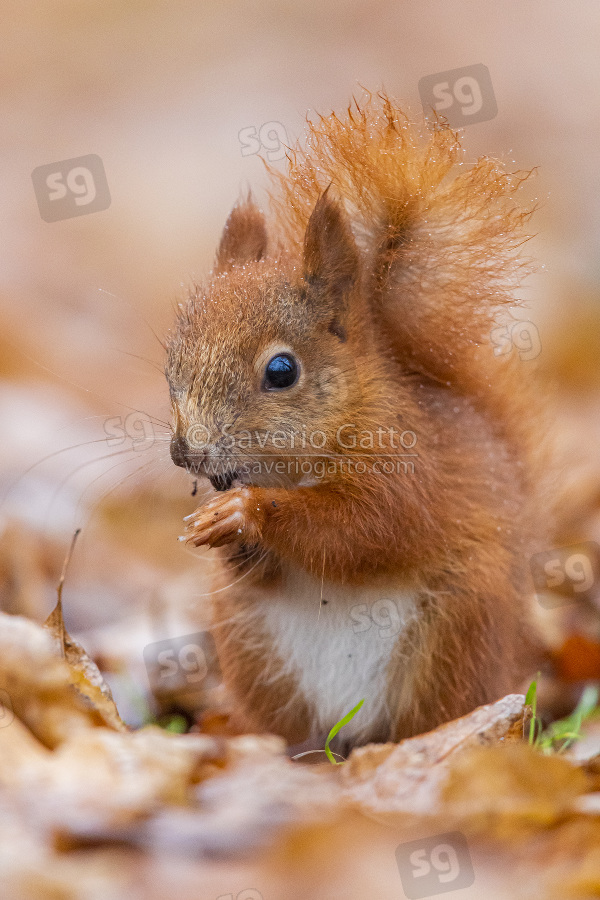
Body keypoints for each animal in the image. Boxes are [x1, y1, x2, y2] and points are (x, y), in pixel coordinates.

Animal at [166, 93, 548, 752]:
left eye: (282, 370)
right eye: (175, 359)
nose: (188, 451)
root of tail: (349, 735)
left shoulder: (409, 466)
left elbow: (367, 529)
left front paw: (248, 511)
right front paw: (217, 527)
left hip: (458, 627)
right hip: (250, 644)